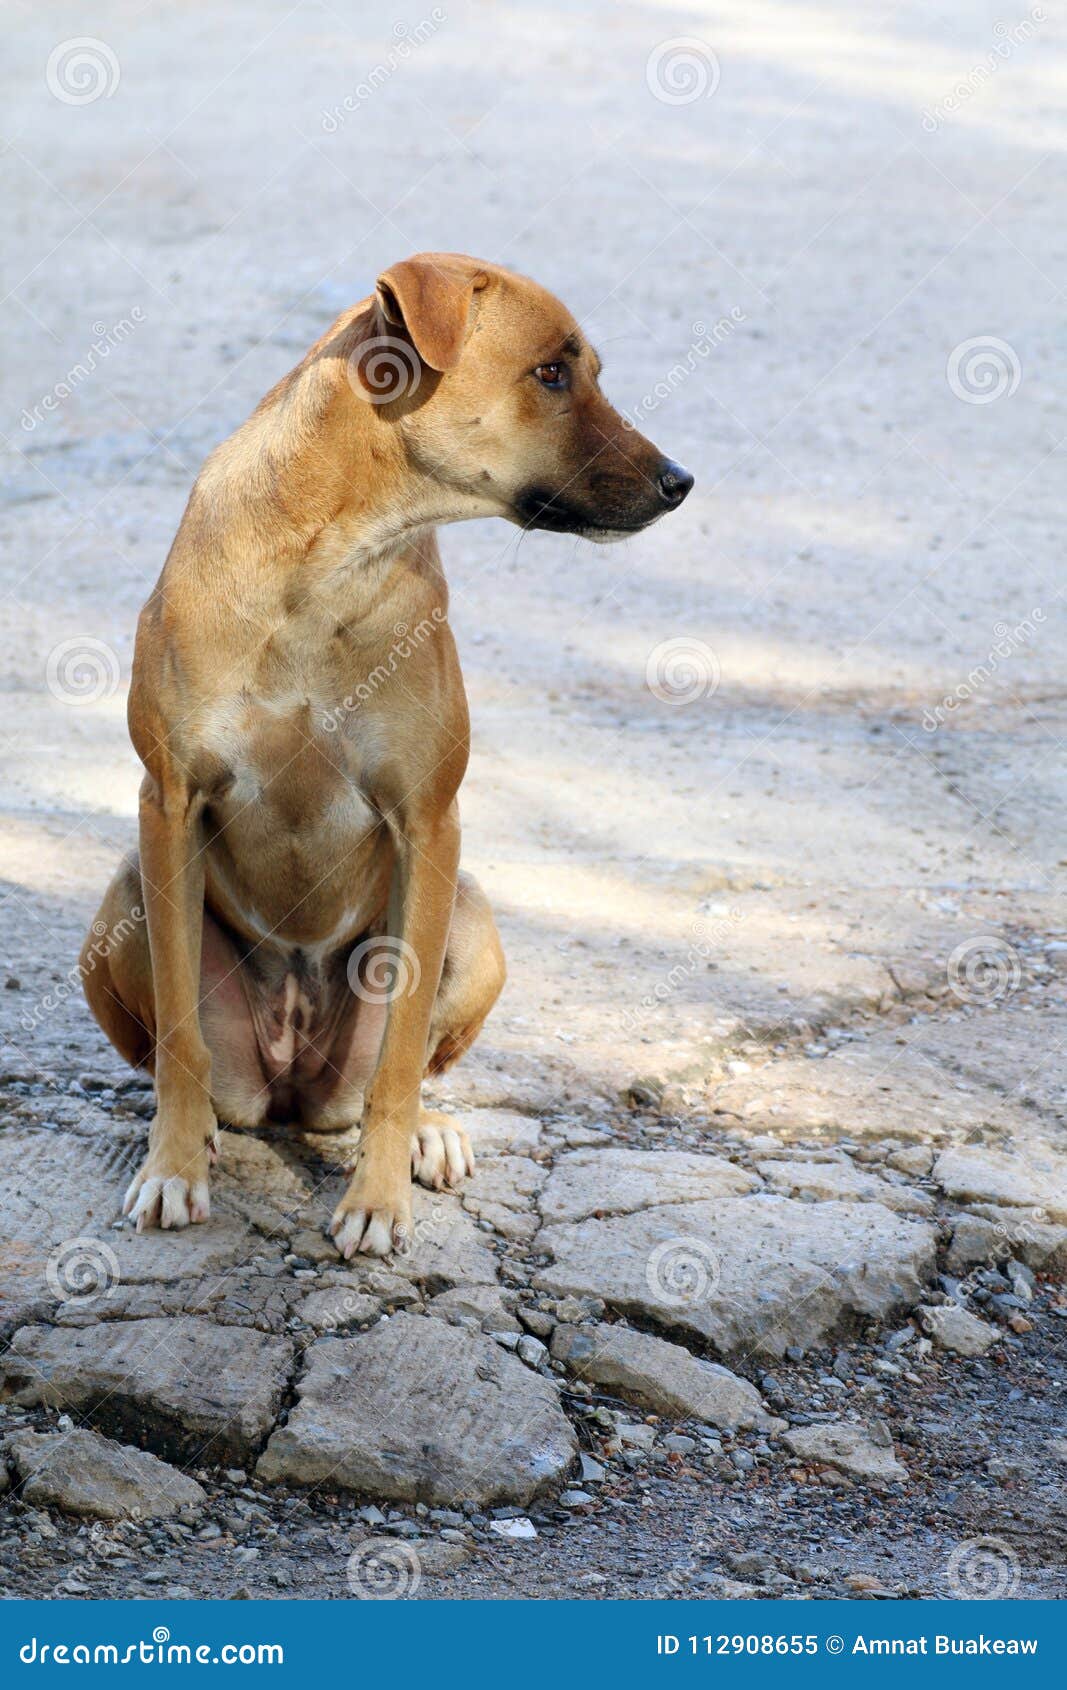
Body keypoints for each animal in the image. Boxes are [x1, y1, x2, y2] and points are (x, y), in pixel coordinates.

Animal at [77, 250, 693, 1257]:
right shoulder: (167, 804)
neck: (328, 561)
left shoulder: (427, 825)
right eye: (550, 374)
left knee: (405, 1064)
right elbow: (178, 1039)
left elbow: (402, 1055)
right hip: (123, 904)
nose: (681, 481)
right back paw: (197, 1126)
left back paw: (425, 1133)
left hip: (472, 924)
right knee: (173, 1047)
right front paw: (171, 1164)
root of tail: (291, 1084)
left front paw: (377, 1195)